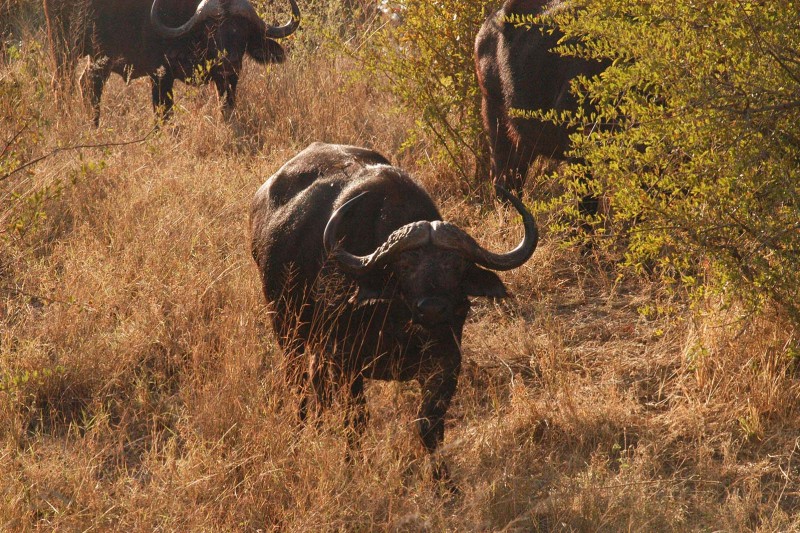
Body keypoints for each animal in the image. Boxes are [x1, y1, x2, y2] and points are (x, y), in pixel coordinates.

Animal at [43, 0, 300, 125]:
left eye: (243, 30)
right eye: (211, 29)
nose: (230, 60)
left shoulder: (227, 80)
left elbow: (226, 107)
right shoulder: (160, 75)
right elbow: (163, 114)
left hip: (99, 57)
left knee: (88, 83)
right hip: (64, 47)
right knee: (62, 84)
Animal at [250, 142, 538, 480]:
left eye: (455, 265)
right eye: (405, 265)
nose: (433, 309)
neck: (399, 323)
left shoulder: (446, 364)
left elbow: (429, 426)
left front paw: (444, 481)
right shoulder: (347, 362)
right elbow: (356, 420)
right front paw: (352, 467)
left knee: (317, 383)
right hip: (288, 330)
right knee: (299, 385)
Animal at [475, 0, 606, 211]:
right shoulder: (575, 145)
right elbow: (587, 203)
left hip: (525, 139)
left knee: (514, 178)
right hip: (495, 119)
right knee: (501, 180)